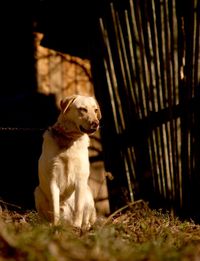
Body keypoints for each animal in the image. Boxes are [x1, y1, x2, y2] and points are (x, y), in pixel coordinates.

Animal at [34, 94, 101, 229]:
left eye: (95, 110)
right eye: (83, 109)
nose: (96, 123)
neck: (70, 140)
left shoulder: (80, 180)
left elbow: (78, 208)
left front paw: (77, 226)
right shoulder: (52, 180)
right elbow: (54, 208)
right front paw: (55, 225)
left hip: (88, 195)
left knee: (87, 219)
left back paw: (83, 227)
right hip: (37, 192)